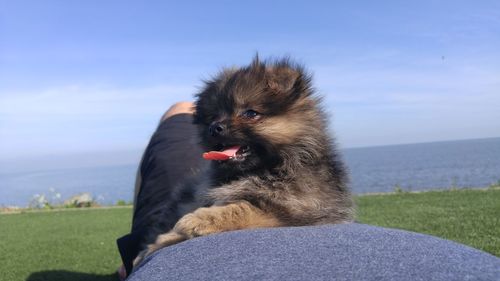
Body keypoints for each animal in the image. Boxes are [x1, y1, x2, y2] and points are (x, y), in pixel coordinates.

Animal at [133, 55, 352, 266]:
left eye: (250, 113)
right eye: (213, 117)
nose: (214, 128)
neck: (262, 170)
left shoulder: (293, 212)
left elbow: (244, 208)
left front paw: (197, 220)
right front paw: (155, 245)